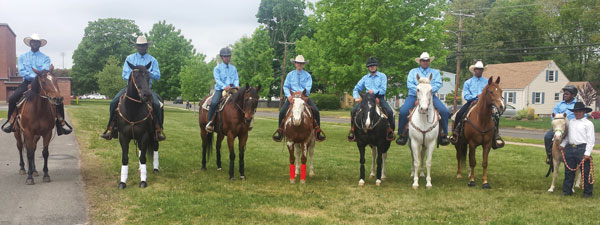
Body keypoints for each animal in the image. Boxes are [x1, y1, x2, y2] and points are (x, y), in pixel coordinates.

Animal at [115, 62, 158, 190]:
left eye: (148, 77)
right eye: (136, 76)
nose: (147, 95)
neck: (132, 110)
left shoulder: (144, 136)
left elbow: (143, 158)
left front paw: (143, 181)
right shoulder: (123, 136)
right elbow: (125, 158)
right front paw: (122, 182)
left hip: (154, 135)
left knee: (155, 147)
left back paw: (155, 169)